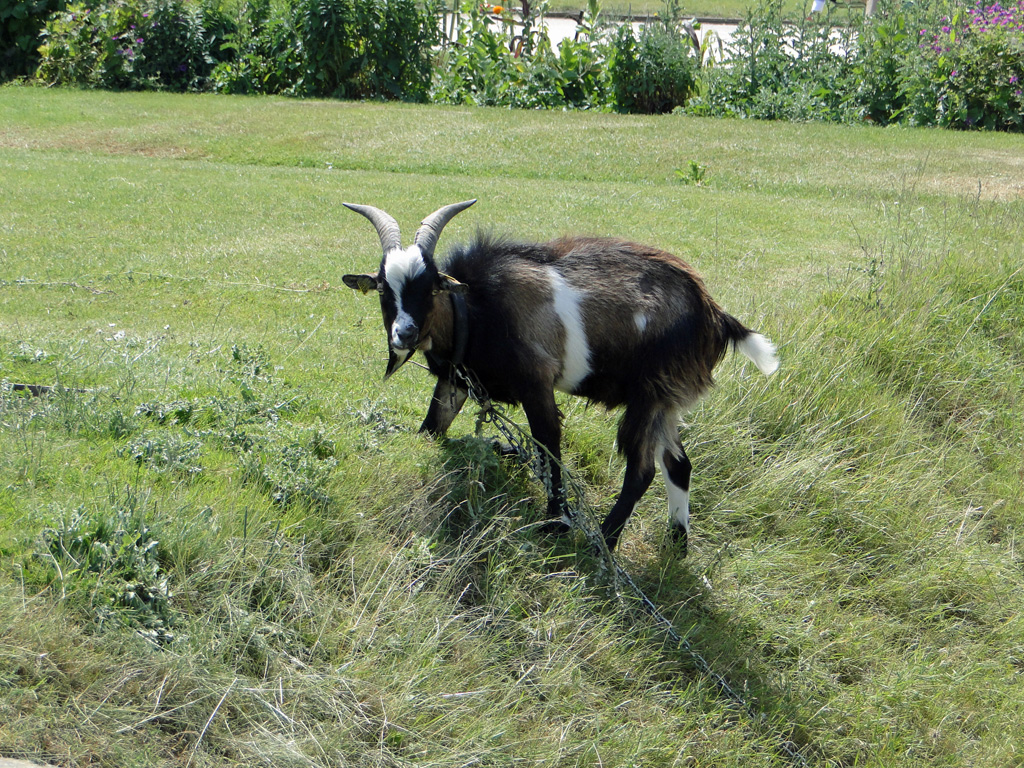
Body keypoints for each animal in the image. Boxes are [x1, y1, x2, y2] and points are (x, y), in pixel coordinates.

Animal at [339, 199, 778, 552]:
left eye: (430, 287)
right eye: (384, 289)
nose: (405, 333)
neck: (477, 307)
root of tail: (714, 315)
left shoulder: (537, 383)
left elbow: (549, 444)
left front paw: (557, 521)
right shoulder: (457, 381)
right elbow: (432, 428)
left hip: (651, 393)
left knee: (643, 471)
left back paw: (604, 542)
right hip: (667, 400)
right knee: (679, 464)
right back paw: (676, 542)